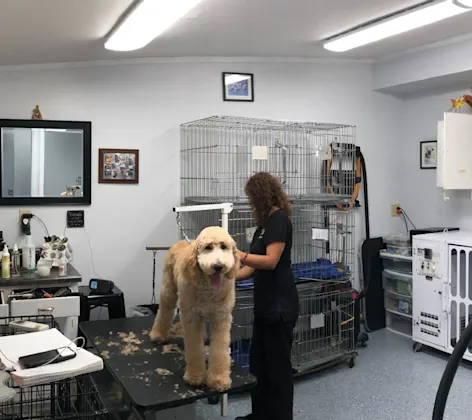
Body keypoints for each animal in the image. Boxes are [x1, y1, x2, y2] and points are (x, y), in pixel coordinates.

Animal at [150, 226, 240, 390]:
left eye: (224, 247)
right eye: (208, 247)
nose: (218, 266)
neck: (208, 289)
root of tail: (180, 241)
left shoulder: (221, 319)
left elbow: (220, 350)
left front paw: (219, 379)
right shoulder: (192, 318)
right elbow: (194, 348)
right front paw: (195, 376)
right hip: (168, 290)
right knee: (165, 310)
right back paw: (158, 335)